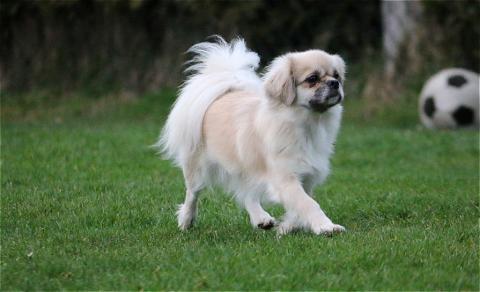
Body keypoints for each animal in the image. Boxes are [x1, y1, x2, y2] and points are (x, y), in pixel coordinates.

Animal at [156, 36, 346, 235]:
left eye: (337, 76)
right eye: (313, 79)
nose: (334, 83)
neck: (308, 124)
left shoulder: (306, 178)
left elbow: (299, 206)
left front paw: (288, 226)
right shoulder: (285, 178)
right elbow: (308, 204)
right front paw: (326, 226)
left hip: (244, 166)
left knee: (247, 193)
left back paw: (261, 219)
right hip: (197, 168)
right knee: (192, 194)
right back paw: (186, 220)